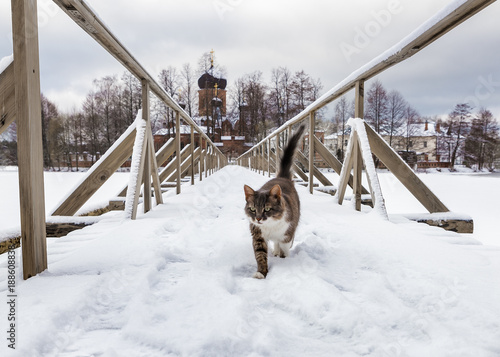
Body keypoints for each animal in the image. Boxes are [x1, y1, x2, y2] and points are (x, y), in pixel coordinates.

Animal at [243, 124, 304, 278]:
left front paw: (284, 260)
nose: (258, 218)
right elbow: (260, 254)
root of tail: (282, 177)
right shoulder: (257, 235)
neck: (270, 226)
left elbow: (285, 247)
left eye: (267, 209)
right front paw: (261, 272)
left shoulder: (287, 232)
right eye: (253, 209)